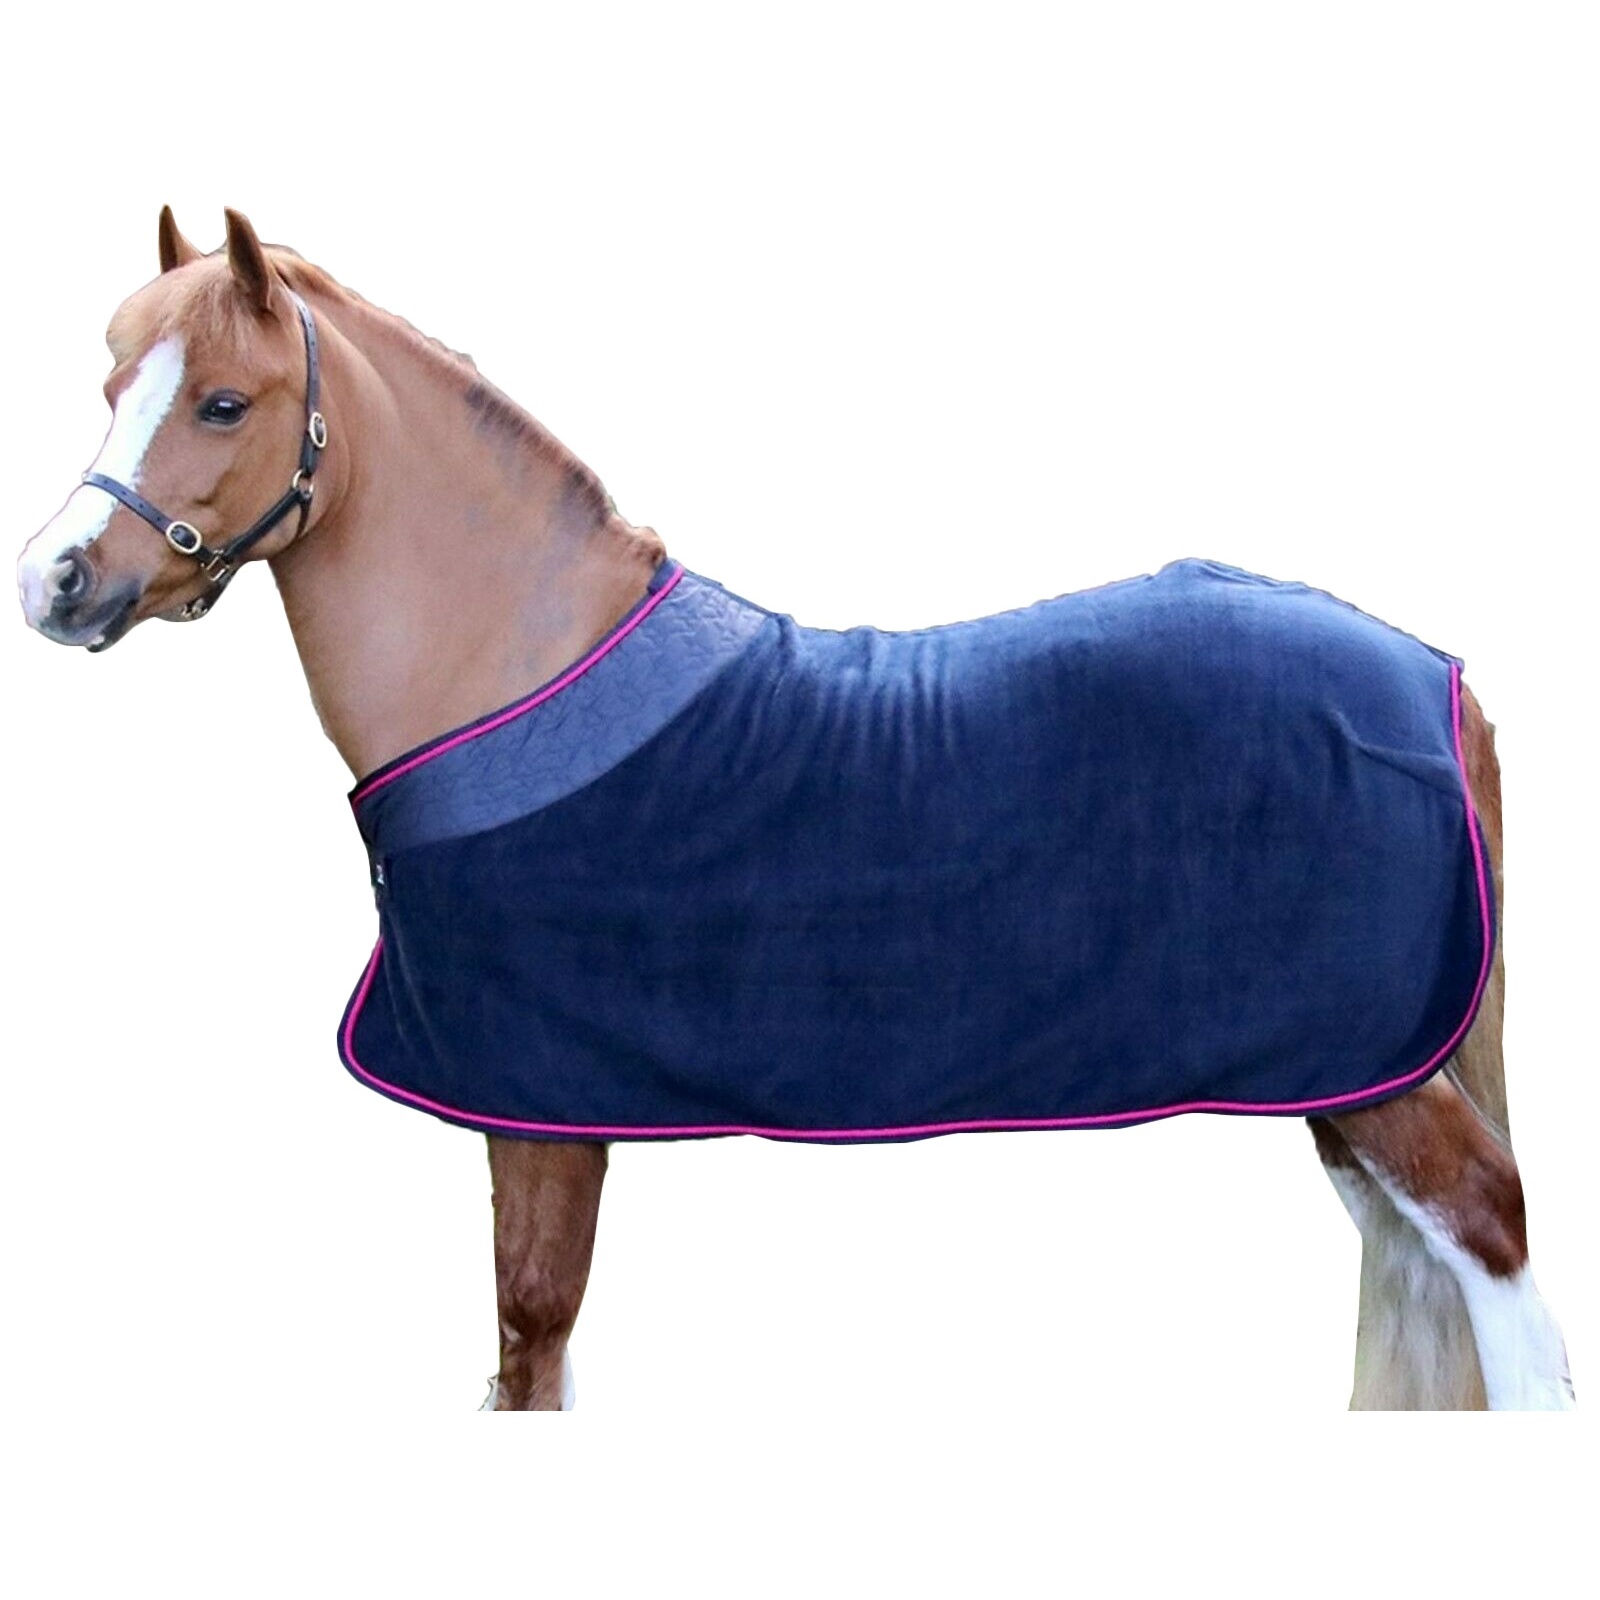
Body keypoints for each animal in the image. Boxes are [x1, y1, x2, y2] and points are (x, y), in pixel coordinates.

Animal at [16, 207, 1575, 1411]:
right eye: (111, 385)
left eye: (223, 402)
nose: (53, 582)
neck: (513, 678)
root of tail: (1433, 677)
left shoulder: (539, 1107)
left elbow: (532, 1339)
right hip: (1343, 1074)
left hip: (1376, 1076)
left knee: (1491, 1235)